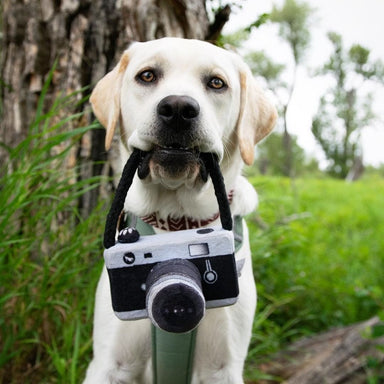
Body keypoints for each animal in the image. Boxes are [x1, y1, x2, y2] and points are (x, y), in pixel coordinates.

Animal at [83, 36, 276, 384]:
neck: (177, 224)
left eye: (217, 83)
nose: (177, 109)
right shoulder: (109, 364)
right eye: (147, 75)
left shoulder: (223, 367)